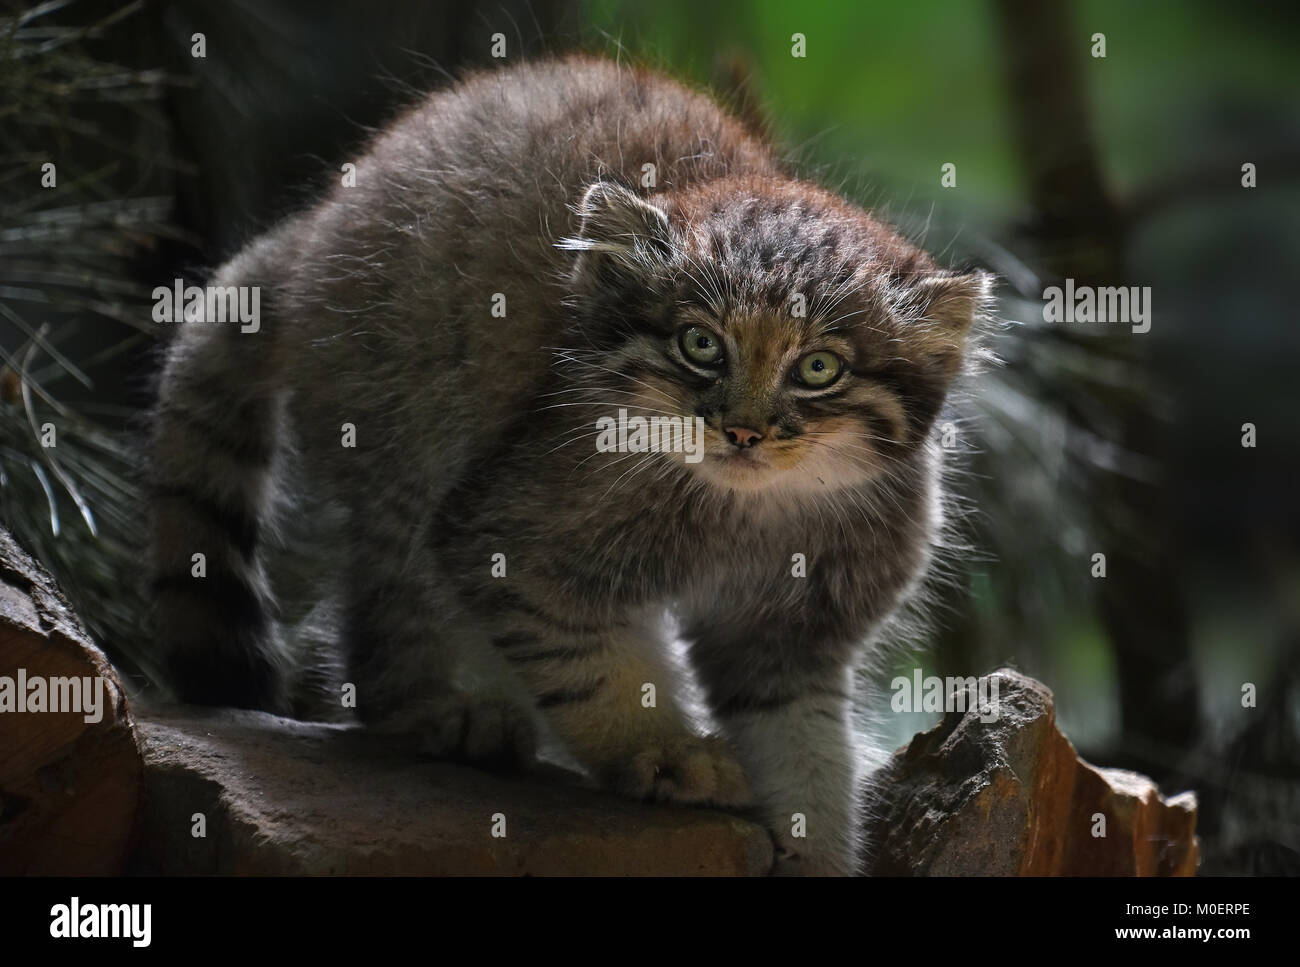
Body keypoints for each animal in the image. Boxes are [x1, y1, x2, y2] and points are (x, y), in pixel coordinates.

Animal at [149, 51, 982, 878]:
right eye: (701, 345)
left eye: (817, 368)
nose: (743, 431)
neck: (747, 511)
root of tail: (312, 230)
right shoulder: (510, 538)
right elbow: (593, 670)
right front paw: (664, 751)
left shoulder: (796, 637)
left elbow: (807, 751)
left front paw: (815, 847)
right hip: (409, 431)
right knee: (385, 606)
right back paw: (443, 709)